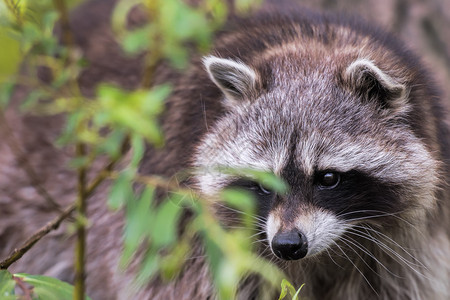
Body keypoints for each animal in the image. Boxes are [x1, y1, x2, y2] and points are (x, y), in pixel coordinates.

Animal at [2, 0, 450, 300]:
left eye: (327, 178)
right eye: (263, 182)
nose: (288, 245)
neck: (312, 44)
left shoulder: (407, 248)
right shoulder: (187, 231)